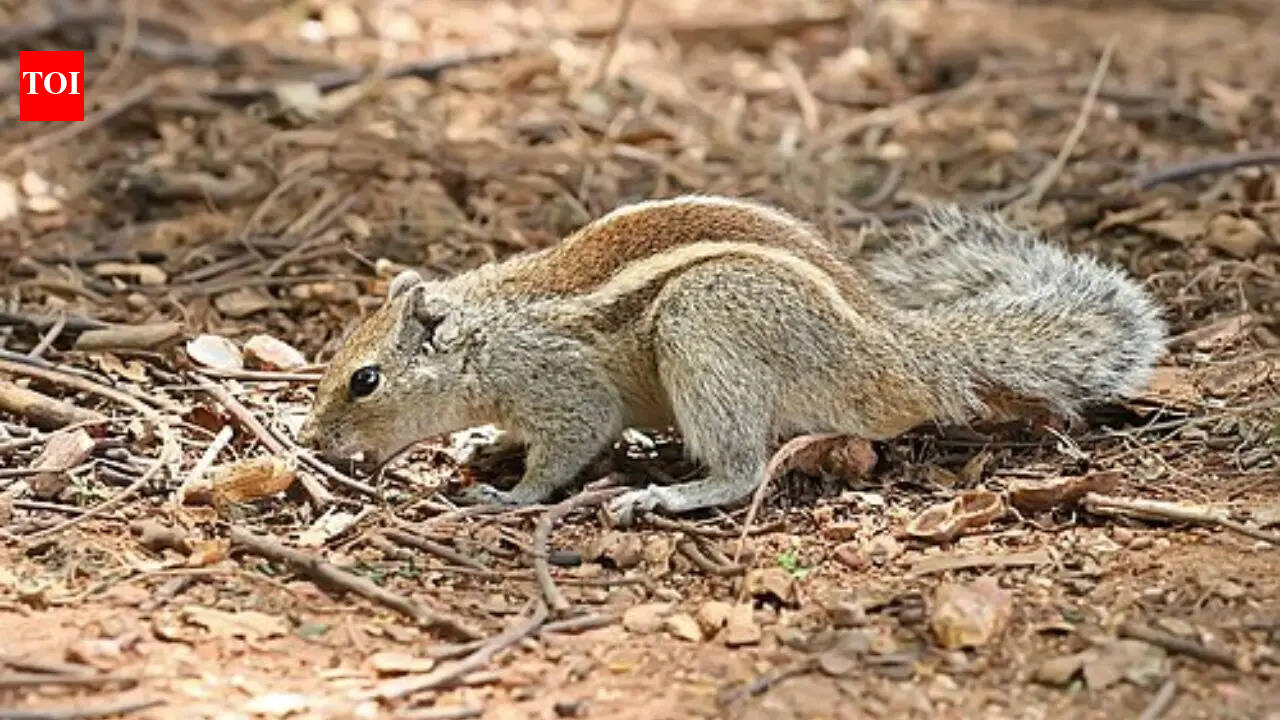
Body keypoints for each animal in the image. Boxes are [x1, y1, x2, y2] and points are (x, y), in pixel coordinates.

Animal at [297, 195, 1166, 523]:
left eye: (364, 380)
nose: (310, 440)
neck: (483, 332)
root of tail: (899, 357)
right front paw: (484, 443)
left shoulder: (559, 383)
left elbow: (572, 442)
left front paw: (508, 497)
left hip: (704, 323)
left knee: (745, 468)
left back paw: (667, 494)